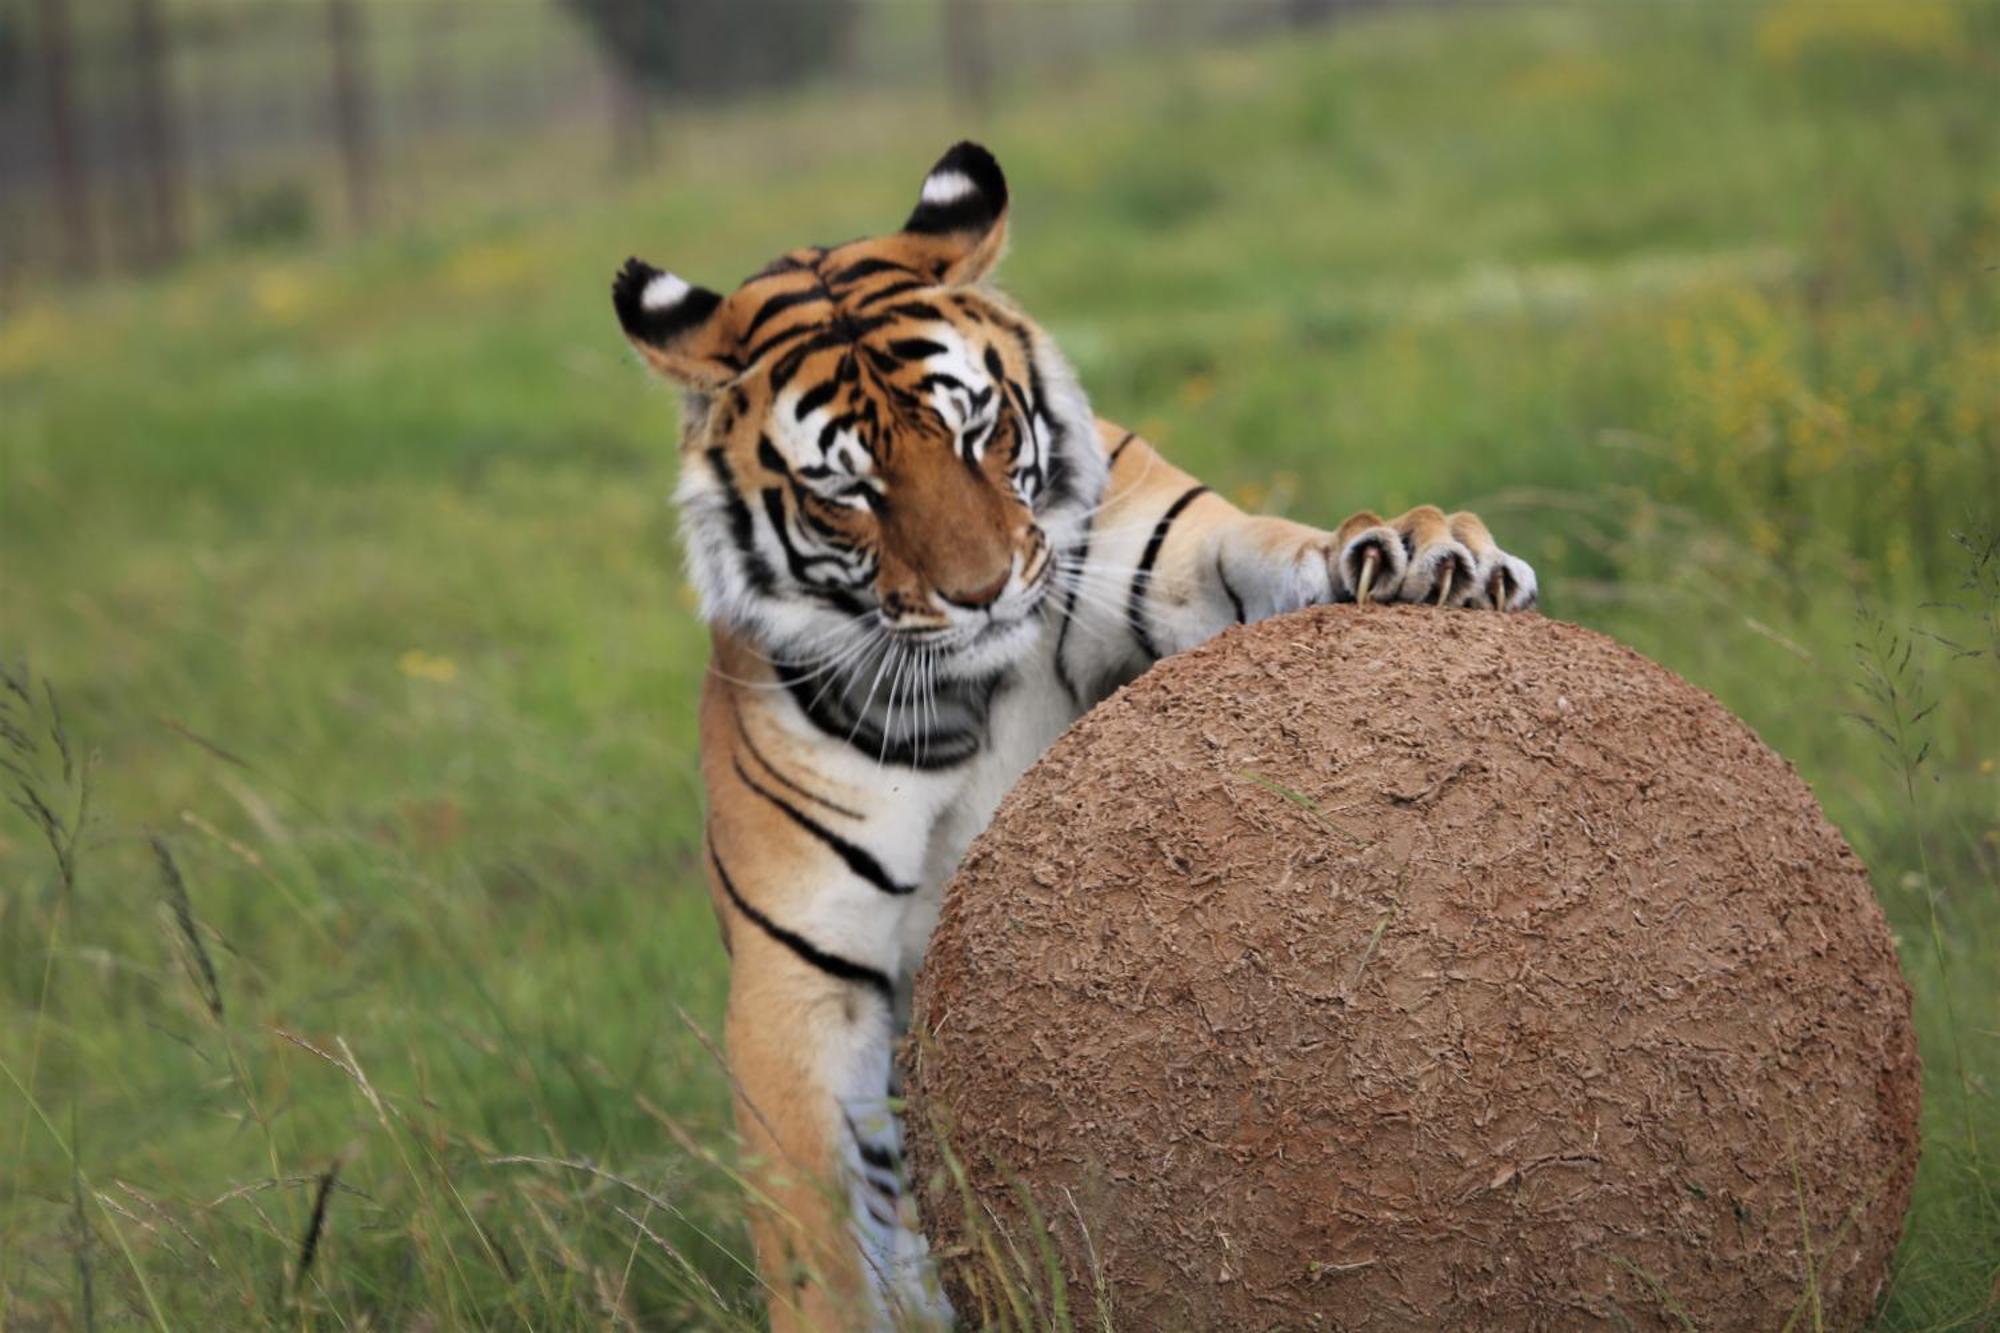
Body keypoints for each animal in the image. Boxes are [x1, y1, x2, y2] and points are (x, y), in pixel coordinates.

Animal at [608, 140, 1544, 1320]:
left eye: (979, 432)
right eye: (848, 491)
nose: (980, 592)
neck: (974, 686)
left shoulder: (1175, 560)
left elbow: (1272, 550)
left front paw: (1426, 550)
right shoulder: (799, 979)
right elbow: (816, 1248)